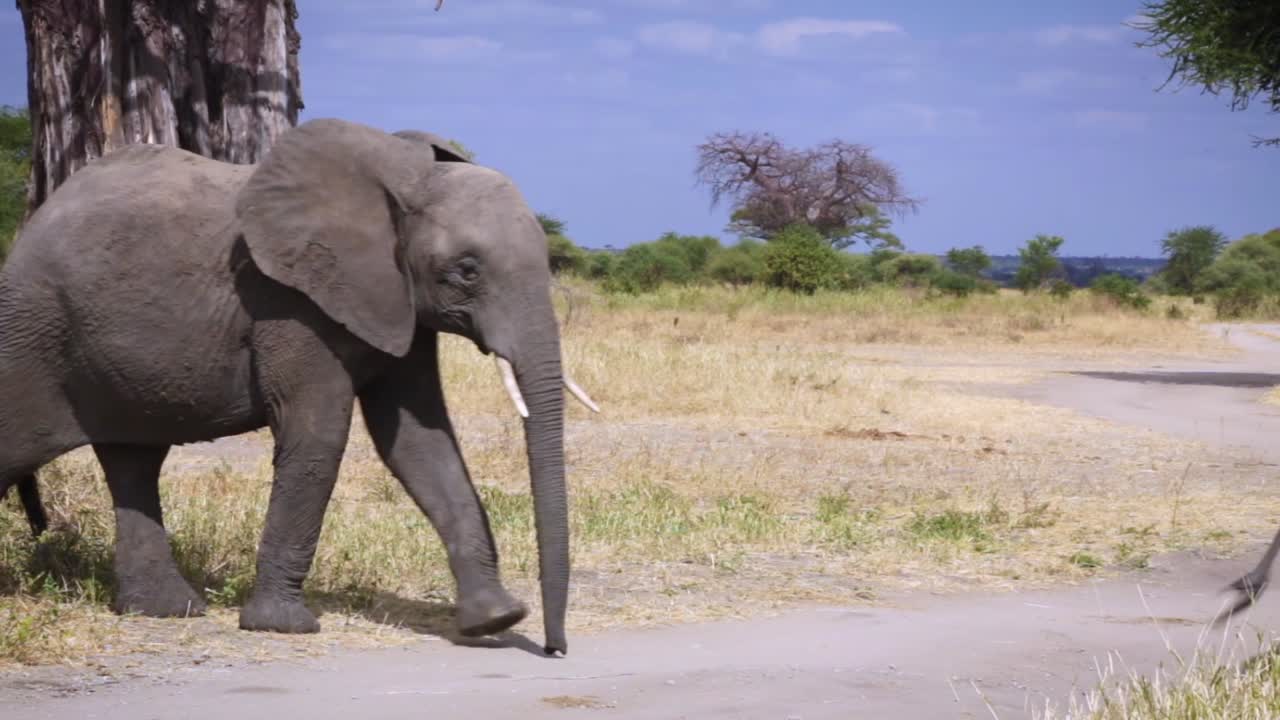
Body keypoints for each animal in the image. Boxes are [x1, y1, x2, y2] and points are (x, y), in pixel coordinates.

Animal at [0, 117, 597, 656]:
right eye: (468, 270)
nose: (554, 650)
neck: (398, 179)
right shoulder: (289, 300)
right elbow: (319, 435)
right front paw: (282, 627)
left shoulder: (395, 300)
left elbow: (419, 441)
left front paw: (495, 619)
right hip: (35, 330)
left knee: (133, 462)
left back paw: (167, 610)